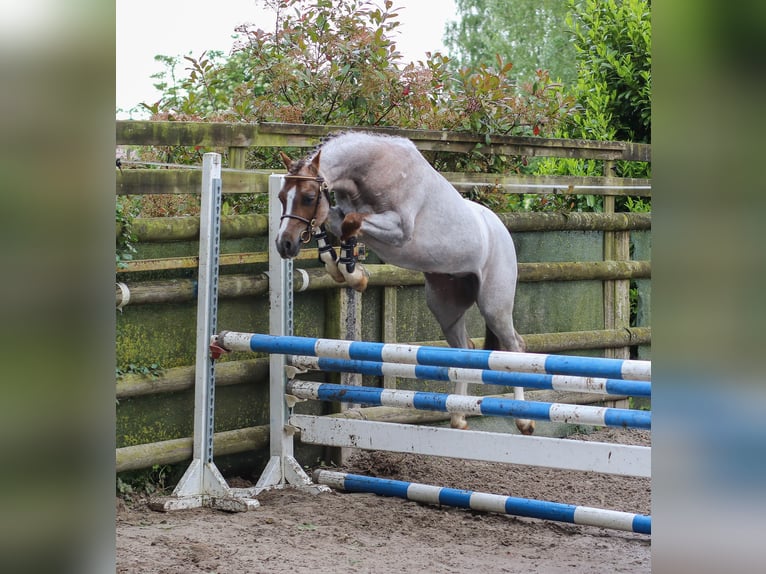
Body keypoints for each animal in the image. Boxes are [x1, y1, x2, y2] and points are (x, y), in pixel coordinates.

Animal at [276, 132, 536, 436]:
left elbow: (350, 223)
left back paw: (524, 420)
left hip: (494, 305)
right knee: (466, 349)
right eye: (281, 197)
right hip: (445, 307)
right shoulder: (345, 213)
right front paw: (342, 267)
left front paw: (353, 274)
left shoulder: (398, 228)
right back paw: (458, 417)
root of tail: (501, 228)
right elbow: (337, 221)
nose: (284, 244)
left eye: (307, 197)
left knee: (514, 347)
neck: (372, 169)